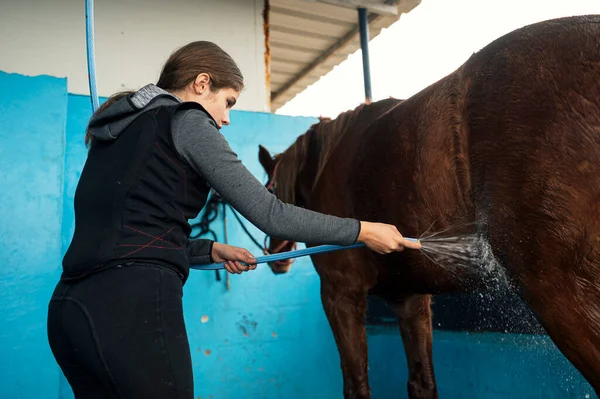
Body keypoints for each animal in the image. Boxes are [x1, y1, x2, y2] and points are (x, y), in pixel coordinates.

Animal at [256, 14, 600, 399]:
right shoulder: (411, 300)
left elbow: (356, 384)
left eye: (270, 188)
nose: (277, 259)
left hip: (561, 291)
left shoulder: (339, 293)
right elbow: (421, 382)